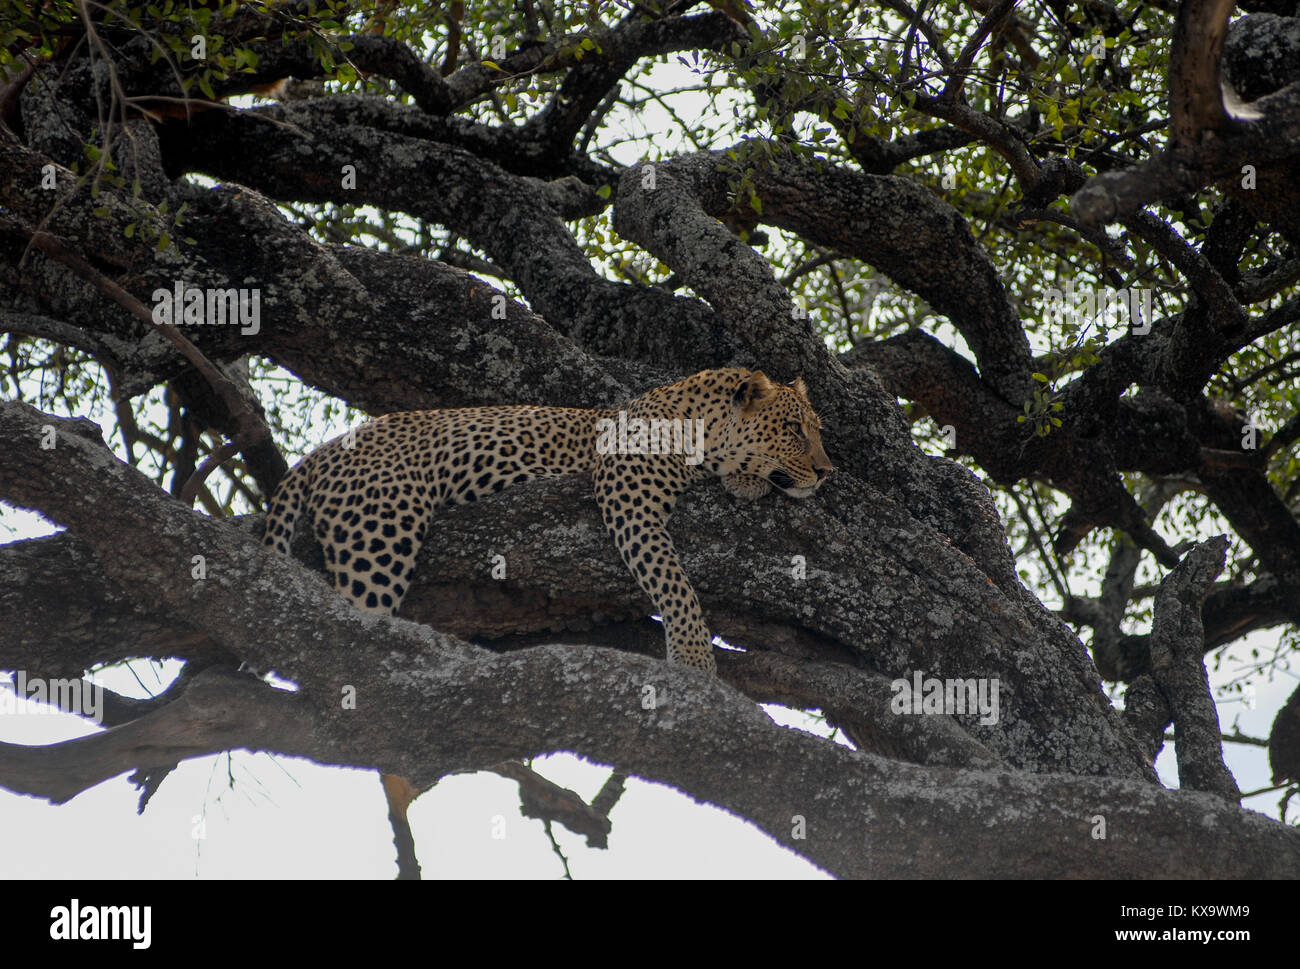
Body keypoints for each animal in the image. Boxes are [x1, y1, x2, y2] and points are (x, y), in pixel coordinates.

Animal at [261, 366, 832, 863]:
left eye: (818, 431)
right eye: (793, 429)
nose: (827, 472)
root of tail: (322, 451)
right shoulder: (627, 493)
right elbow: (673, 581)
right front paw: (694, 659)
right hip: (379, 537)